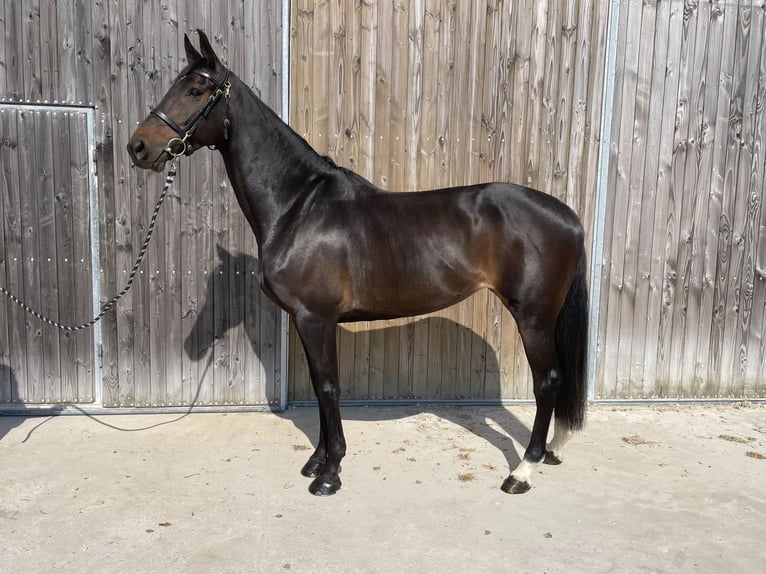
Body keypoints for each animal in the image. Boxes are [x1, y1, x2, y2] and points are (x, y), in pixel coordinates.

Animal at [127, 30, 589, 496]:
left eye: (195, 90)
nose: (138, 147)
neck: (298, 205)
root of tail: (567, 216)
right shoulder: (307, 320)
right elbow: (318, 389)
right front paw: (316, 461)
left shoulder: (316, 317)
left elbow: (329, 388)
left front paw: (330, 474)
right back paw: (553, 450)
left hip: (532, 316)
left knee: (549, 380)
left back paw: (522, 471)